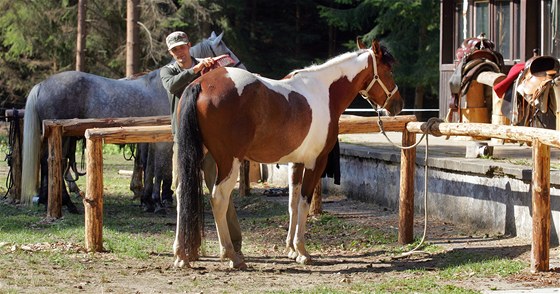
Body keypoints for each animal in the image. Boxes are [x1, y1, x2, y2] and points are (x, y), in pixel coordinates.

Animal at [21, 31, 245, 212]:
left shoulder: (151, 140)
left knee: (50, 163)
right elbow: (159, 169)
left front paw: (148, 200)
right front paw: (156, 202)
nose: (243, 70)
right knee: (55, 163)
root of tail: (42, 85)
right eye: (227, 52)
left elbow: (151, 168)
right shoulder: (162, 142)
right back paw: (66, 204)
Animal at [175, 38, 402, 268]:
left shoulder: (296, 163)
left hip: (194, 157)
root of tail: (200, 84)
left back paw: (181, 255)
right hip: (230, 162)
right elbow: (304, 203)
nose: (397, 105)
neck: (323, 92)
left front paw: (291, 250)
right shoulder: (315, 162)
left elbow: (292, 204)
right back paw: (231, 255)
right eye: (388, 70)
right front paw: (302, 251)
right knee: (219, 198)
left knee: (181, 192)